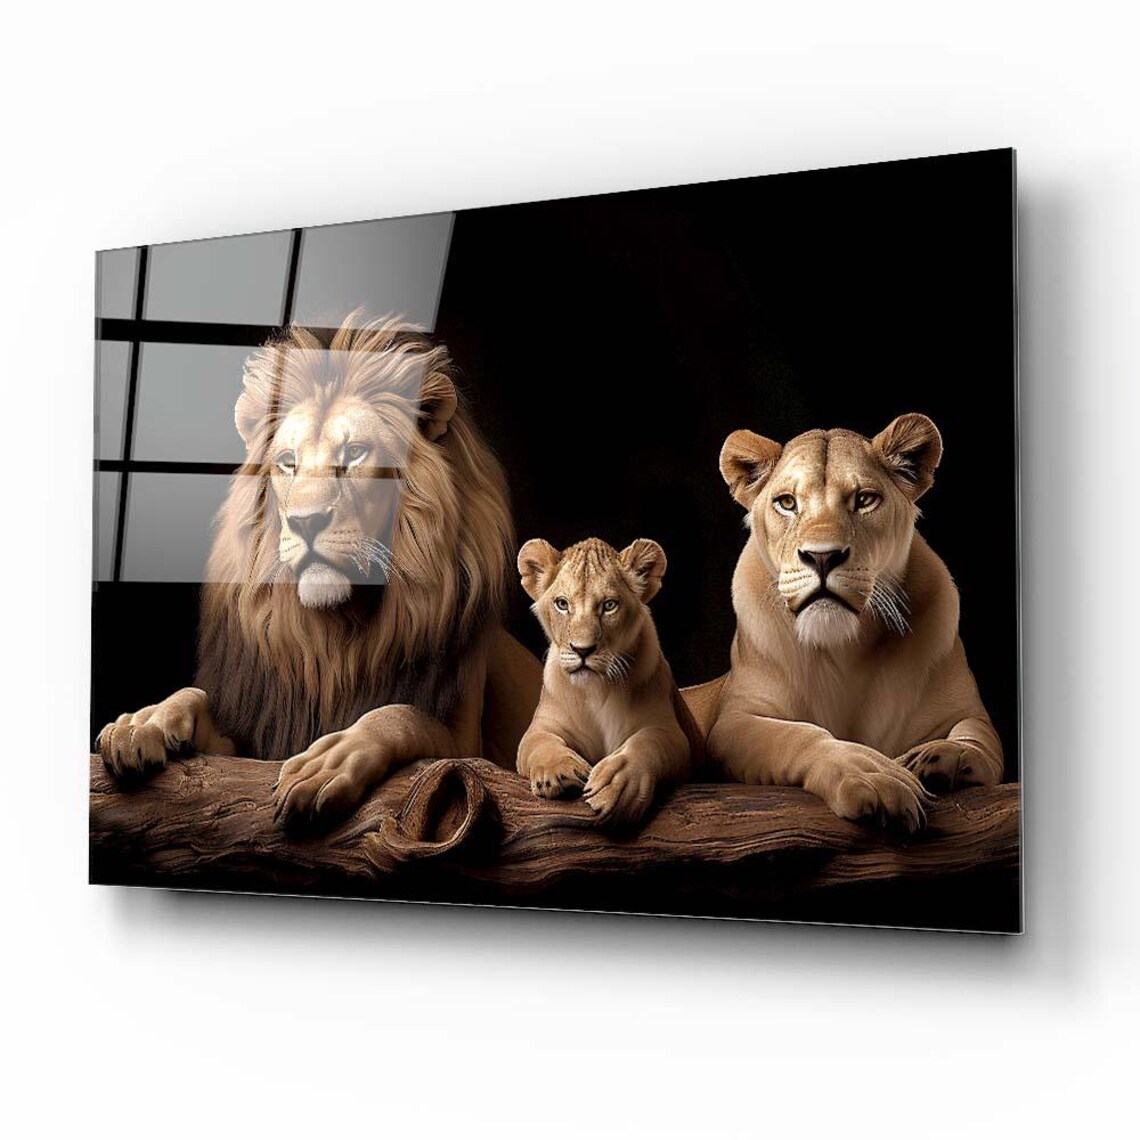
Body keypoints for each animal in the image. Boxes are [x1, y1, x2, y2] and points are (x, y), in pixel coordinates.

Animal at [97, 314, 541, 826]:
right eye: (288, 463)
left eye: (356, 453)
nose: (305, 522)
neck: (337, 635)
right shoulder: (264, 728)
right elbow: (194, 695)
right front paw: (142, 721)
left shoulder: (472, 750)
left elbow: (404, 715)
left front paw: (330, 760)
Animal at [516, 536, 703, 827]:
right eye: (562, 604)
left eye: (609, 605)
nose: (582, 650)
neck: (596, 690)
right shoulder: (542, 726)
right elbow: (539, 743)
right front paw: (559, 771)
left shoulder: (670, 733)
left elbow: (646, 743)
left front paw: (616, 784)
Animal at [708, 413, 1003, 831]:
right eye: (787, 502)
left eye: (864, 499)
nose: (822, 557)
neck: (846, 647)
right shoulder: (733, 722)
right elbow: (799, 736)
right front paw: (872, 776)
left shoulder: (965, 710)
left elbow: (978, 736)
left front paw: (946, 757)